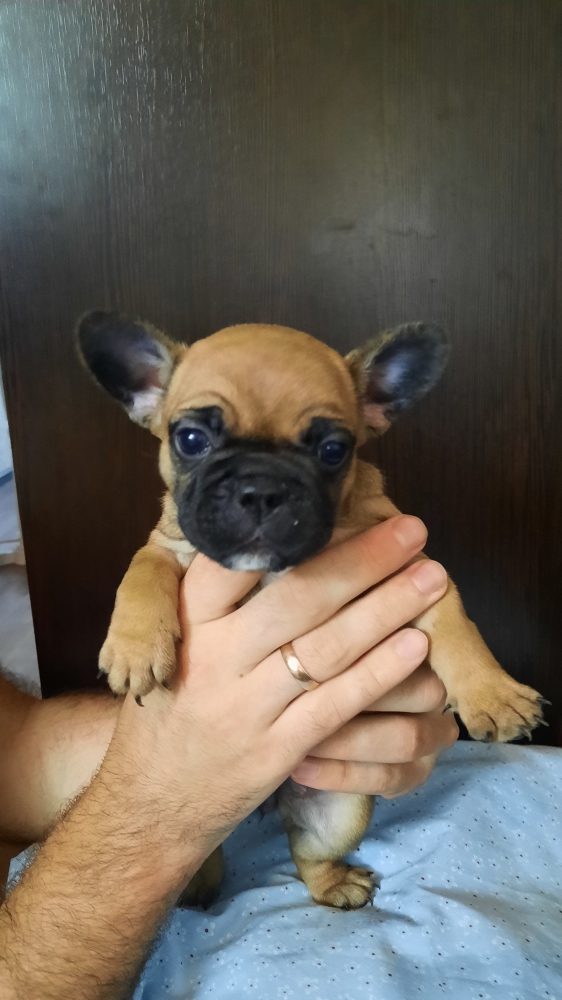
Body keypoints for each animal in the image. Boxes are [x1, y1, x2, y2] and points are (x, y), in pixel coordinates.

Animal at [77, 312, 544, 910]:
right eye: (190, 439)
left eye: (333, 450)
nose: (260, 488)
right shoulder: (170, 545)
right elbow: (141, 570)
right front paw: (134, 649)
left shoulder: (412, 570)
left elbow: (454, 622)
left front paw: (494, 694)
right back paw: (199, 888)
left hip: (342, 809)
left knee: (308, 853)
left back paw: (335, 883)